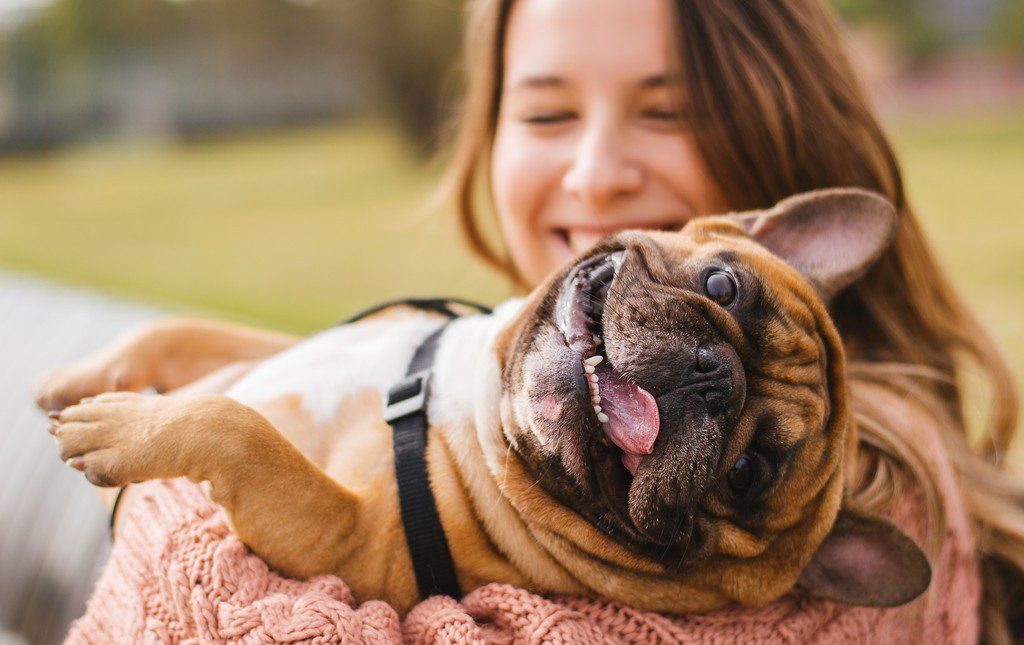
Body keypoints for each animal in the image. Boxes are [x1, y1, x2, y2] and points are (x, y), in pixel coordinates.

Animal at [39, 188, 933, 618]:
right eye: (722, 285)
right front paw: (84, 377)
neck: (469, 399)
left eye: (747, 471)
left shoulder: (343, 538)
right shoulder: (282, 348)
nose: (714, 376)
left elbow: (240, 427)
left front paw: (116, 427)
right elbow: (182, 332)